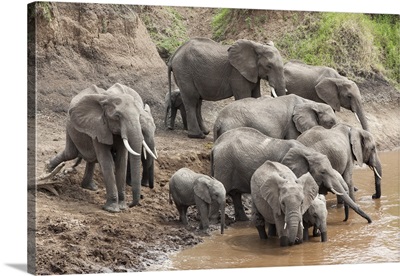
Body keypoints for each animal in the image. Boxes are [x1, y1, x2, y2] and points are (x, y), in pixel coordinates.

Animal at [211, 126, 370, 223]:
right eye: (323, 172)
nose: (370, 221)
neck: (308, 152)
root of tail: (214, 146)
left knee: (235, 194)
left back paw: (243, 221)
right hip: (224, 165)